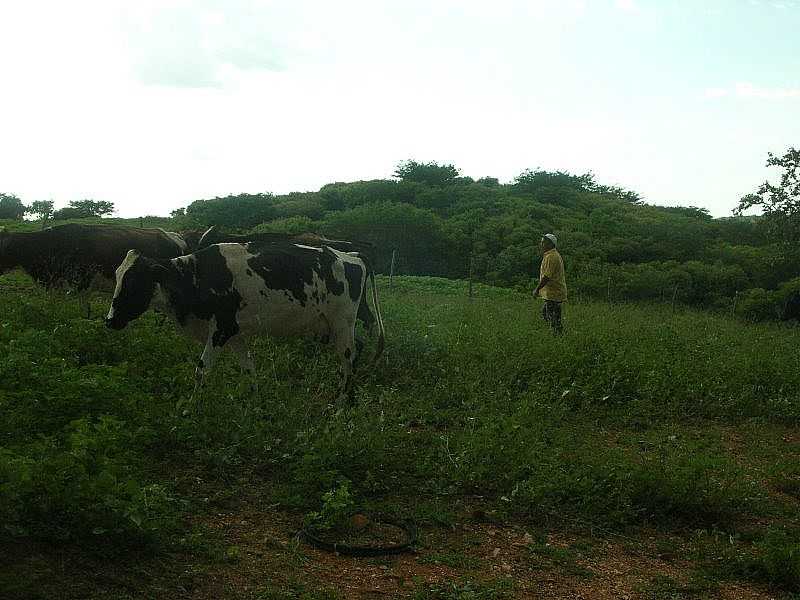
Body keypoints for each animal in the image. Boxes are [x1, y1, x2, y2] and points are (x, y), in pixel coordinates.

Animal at [104, 239, 386, 398]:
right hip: (329, 326)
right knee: (357, 349)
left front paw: (191, 409)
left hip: (343, 322)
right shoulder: (236, 333)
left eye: (134, 282)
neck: (197, 275)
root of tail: (350, 256)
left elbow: (201, 370)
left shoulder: (222, 329)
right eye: (117, 277)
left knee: (348, 357)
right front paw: (254, 404)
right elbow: (248, 369)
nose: (109, 321)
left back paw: (340, 402)